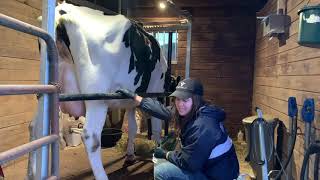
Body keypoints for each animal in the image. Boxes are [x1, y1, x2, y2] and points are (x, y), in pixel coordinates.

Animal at [31, 1, 169, 180]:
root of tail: (63, 11)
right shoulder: (156, 94)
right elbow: (158, 128)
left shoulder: (130, 102)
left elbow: (132, 127)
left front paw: (130, 155)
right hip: (96, 97)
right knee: (91, 137)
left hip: (48, 91)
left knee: (35, 127)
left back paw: (32, 172)